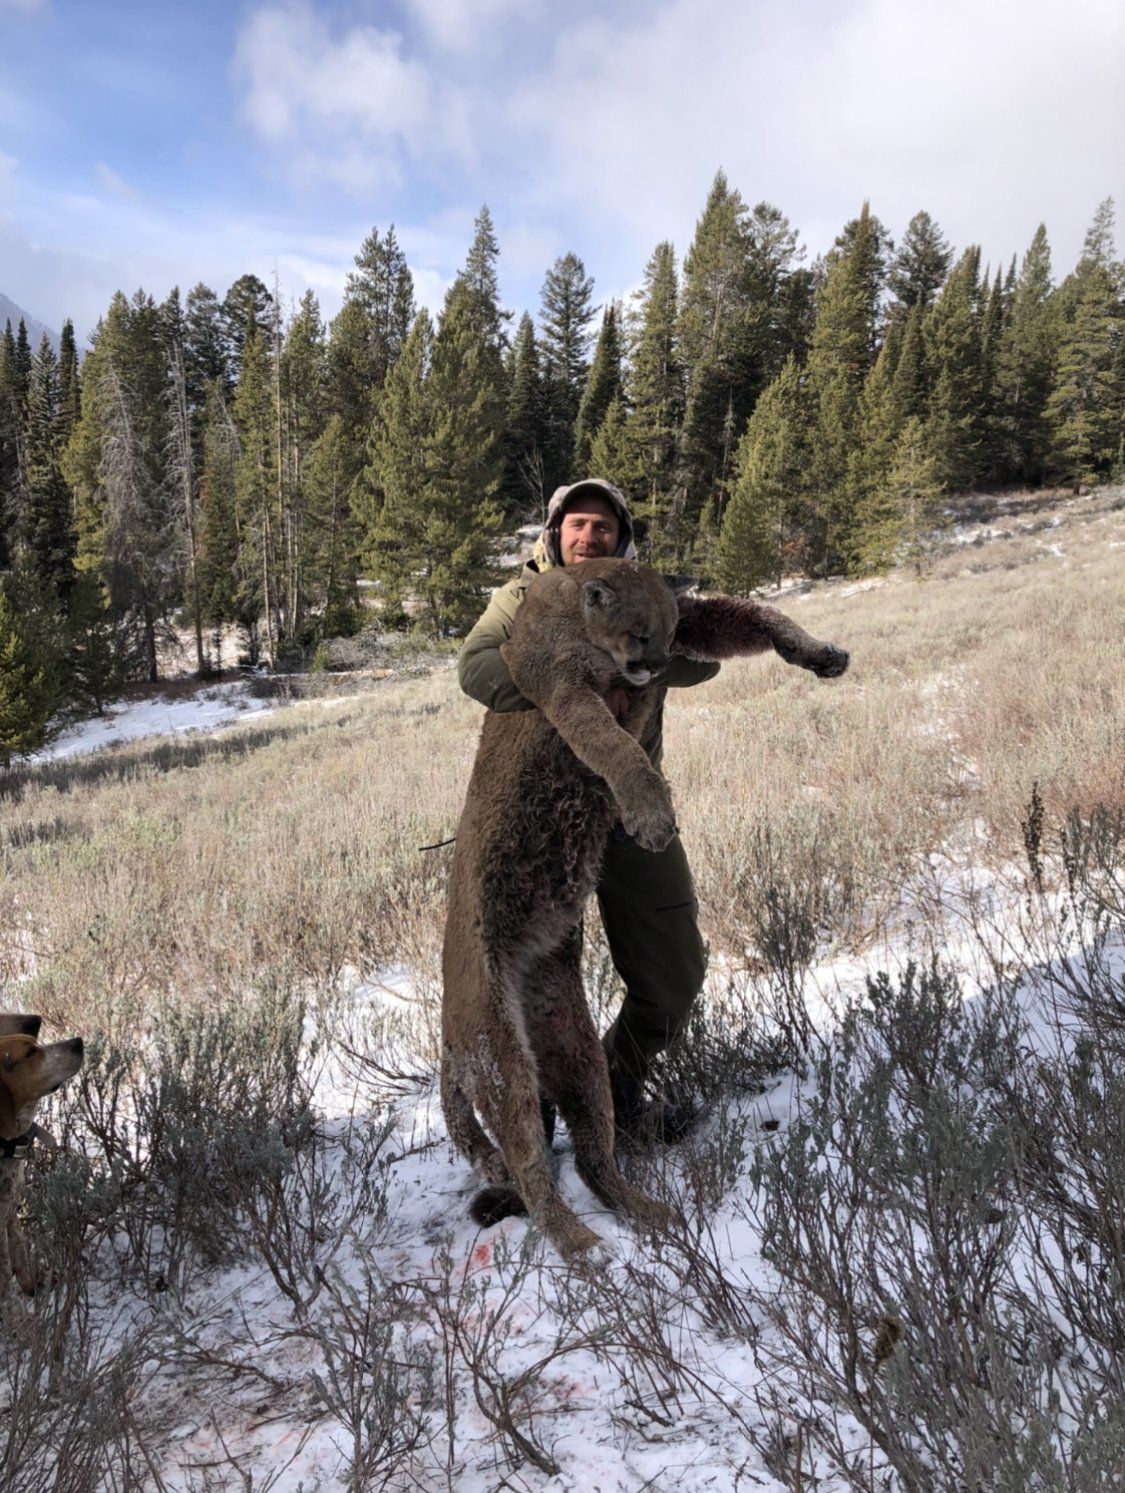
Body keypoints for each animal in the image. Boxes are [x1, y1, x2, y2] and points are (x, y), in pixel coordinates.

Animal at [441, 559, 848, 1258]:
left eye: (666, 632)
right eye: (636, 632)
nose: (653, 665)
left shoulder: (694, 622)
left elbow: (754, 613)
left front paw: (820, 653)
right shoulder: (561, 685)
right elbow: (614, 746)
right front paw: (651, 814)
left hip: (571, 1046)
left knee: (589, 1154)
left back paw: (650, 1214)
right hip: (498, 1054)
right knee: (529, 1165)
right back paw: (583, 1249)